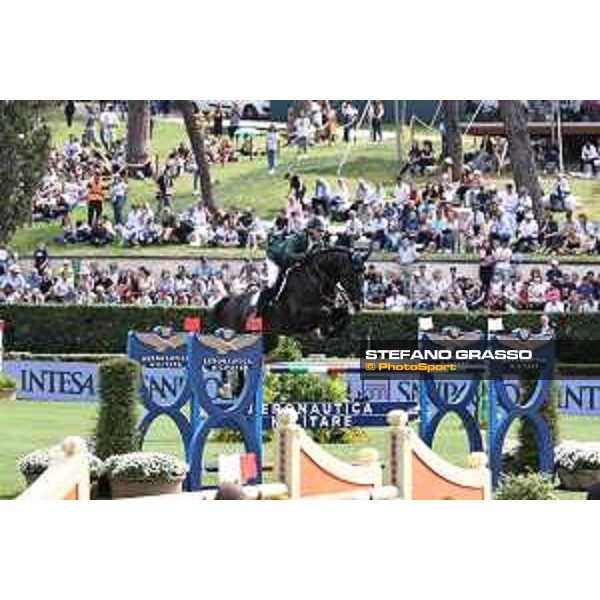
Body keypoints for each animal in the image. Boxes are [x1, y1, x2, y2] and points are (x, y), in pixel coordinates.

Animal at [211, 246, 370, 336]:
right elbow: (325, 312)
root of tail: (228, 302)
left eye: (365, 274)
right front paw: (325, 332)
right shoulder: (298, 317)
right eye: (350, 275)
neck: (317, 279)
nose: (359, 305)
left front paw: (335, 331)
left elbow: (343, 314)